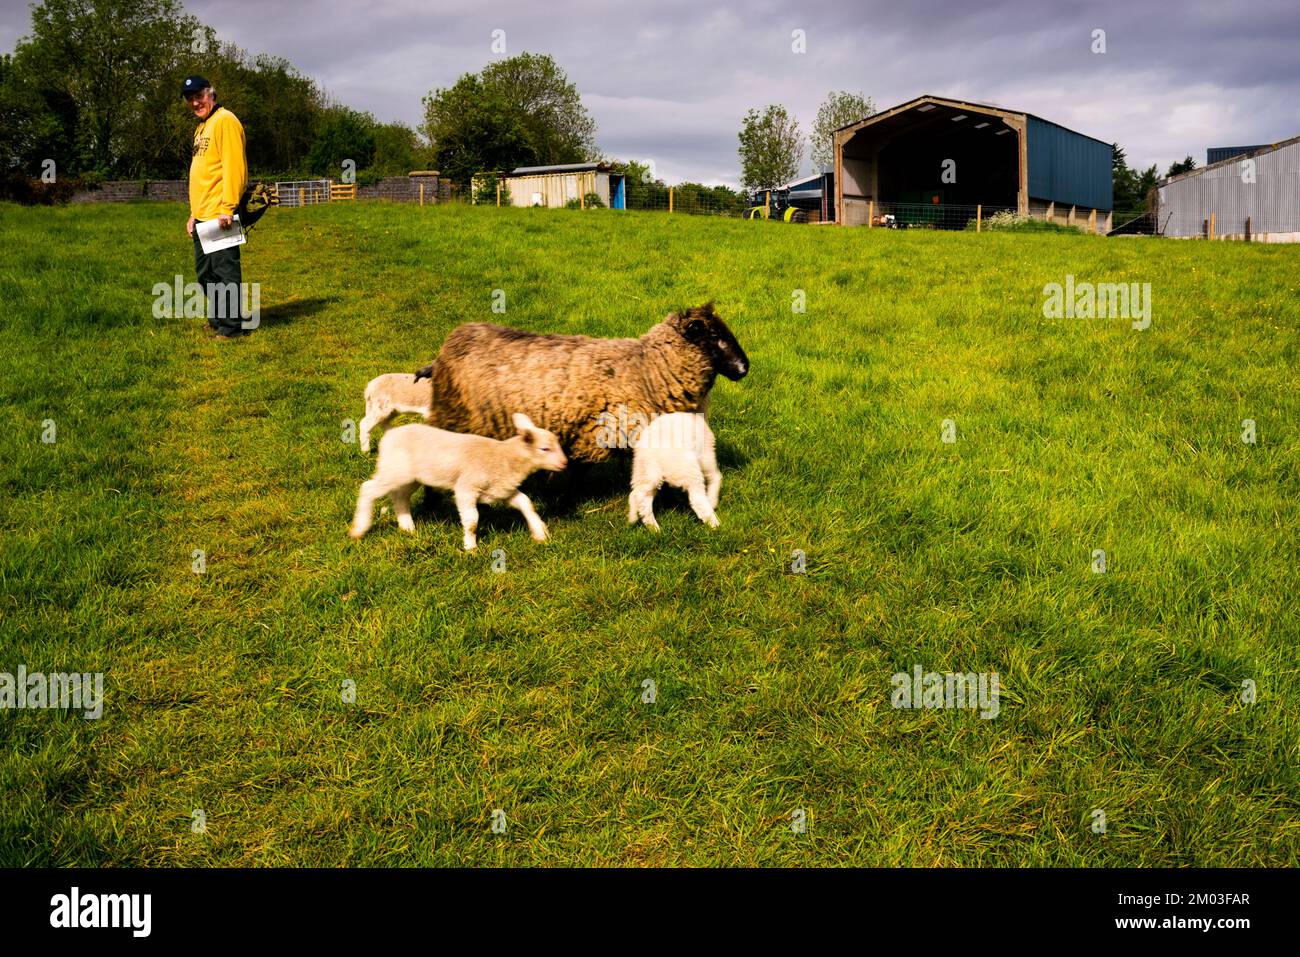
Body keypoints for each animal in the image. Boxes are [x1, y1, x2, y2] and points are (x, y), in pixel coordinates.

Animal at [351, 413, 564, 553]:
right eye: (545, 449)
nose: (564, 463)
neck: (504, 457)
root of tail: (391, 432)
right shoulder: (466, 488)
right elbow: (472, 521)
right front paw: (470, 547)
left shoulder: (502, 489)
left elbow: (526, 503)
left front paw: (540, 533)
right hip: (394, 470)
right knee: (368, 489)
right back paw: (359, 529)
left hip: (409, 477)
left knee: (400, 497)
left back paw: (408, 527)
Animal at [410, 300, 748, 462]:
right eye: (713, 336)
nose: (745, 368)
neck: (646, 370)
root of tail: (444, 351)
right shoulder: (596, 433)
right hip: (454, 416)